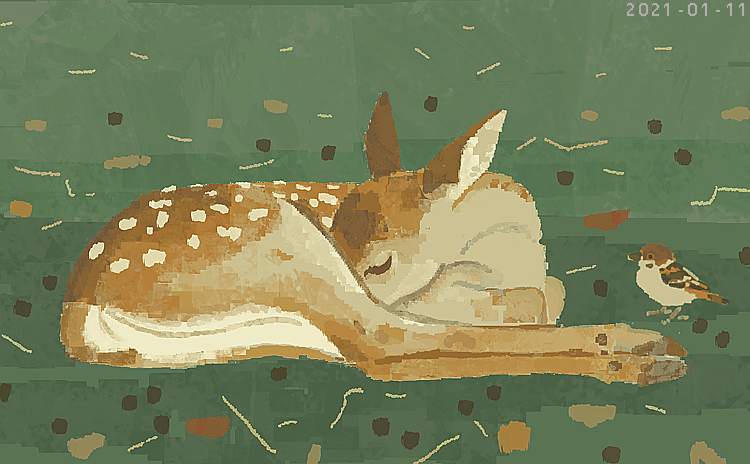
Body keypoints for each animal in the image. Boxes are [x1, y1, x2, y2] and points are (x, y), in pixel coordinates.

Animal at [60, 92, 689, 387]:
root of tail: (81, 296)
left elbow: (549, 294)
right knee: (385, 342)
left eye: (382, 261)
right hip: (281, 243)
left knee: (374, 353)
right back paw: (640, 351)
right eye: (337, 229)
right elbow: (526, 306)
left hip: (269, 318)